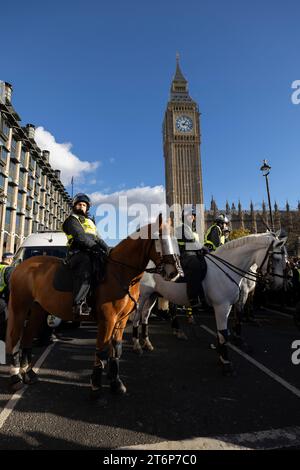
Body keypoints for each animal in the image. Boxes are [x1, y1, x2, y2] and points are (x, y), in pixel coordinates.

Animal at [6, 218, 180, 394]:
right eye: (160, 238)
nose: (175, 272)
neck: (120, 272)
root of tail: (21, 266)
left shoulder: (121, 320)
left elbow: (116, 349)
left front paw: (116, 382)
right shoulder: (107, 320)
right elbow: (102, 350)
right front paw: (96, 385)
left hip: (38, 310)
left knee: (27, 337)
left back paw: (28, 373)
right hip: (19, 307)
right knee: (14, 337)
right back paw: (15, 378)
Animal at [133, 233, 286, 372]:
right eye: (276, 258)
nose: (279, 285)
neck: (226, 270)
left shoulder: (229, 305)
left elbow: (223, 331)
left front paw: (222, 354)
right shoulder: (222, 306)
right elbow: (224, 333)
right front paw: (226, 362)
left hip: (153, 295)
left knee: (145, 315)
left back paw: (147, 342)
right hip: (143, 295)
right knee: (137, 316)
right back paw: (137, 345)